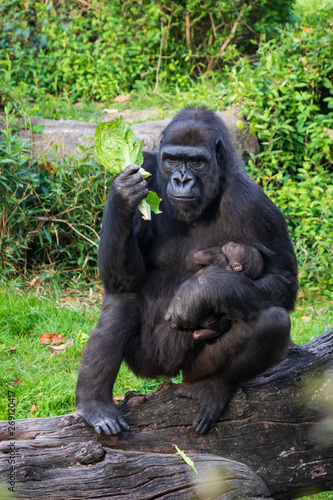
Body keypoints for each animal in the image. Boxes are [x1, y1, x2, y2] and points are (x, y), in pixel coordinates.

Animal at [74, 108, 296, 434]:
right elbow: (124, 279)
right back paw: (95, 404)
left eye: (196, 161)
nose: (181, 178)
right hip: (144, 361)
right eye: (172, 159)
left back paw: (213, 386)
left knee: (273, 321)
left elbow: (282, 281)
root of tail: (168, 371)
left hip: (190, 368)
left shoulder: (254, 203)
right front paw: (123, 195)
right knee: (122, 300)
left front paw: (200, 292)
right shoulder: (146, 167)